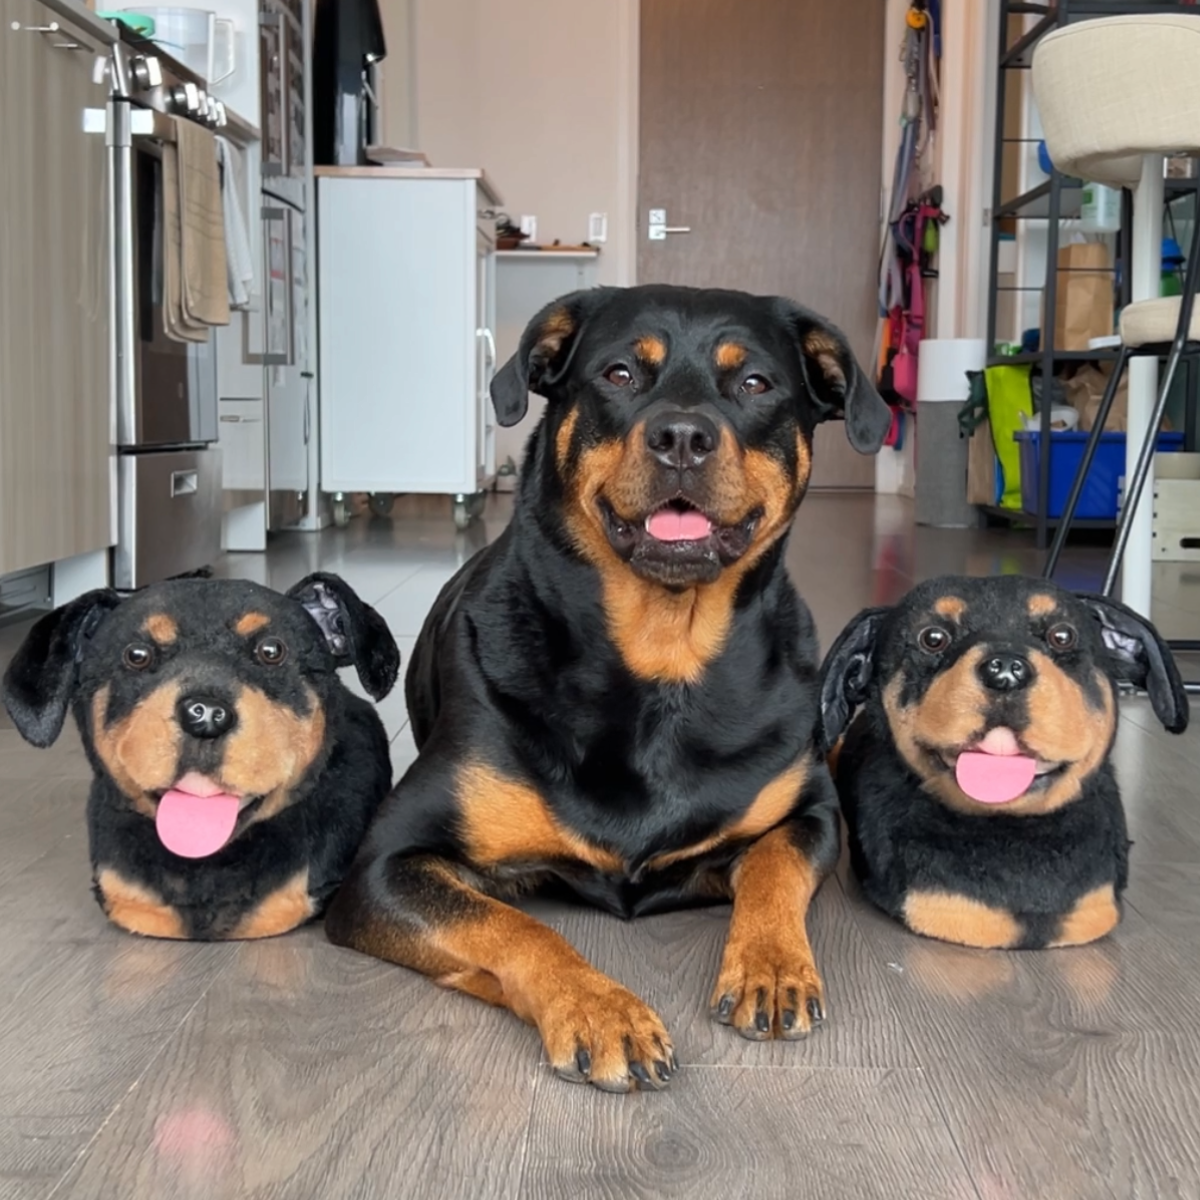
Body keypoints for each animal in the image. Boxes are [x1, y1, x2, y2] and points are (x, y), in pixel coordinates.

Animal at [326, 285, 892, 1094]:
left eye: (755, 384)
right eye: (620, 374)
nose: (682, 436)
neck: (661, 658)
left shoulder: (809, 810)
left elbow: (773, 868)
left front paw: (772, 967)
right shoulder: (383, 864)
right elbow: (511, 923)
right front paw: (600, 1010)